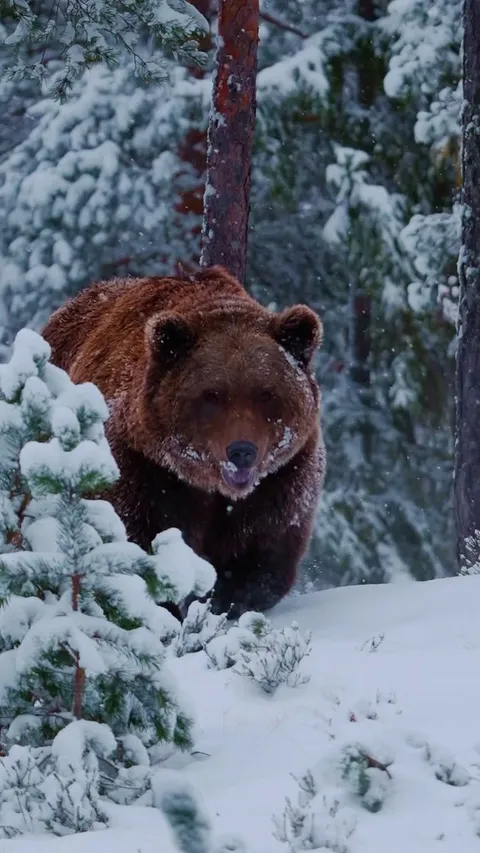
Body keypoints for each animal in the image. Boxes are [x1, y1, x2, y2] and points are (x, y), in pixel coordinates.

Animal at [42, 266, 326, 619]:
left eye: (266, 393)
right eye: (212, 394)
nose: (242, 451)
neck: (209, 487)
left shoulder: (282, 479)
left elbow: (261, 553)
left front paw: (222, 601)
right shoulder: (142, 469)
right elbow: (140, 543)